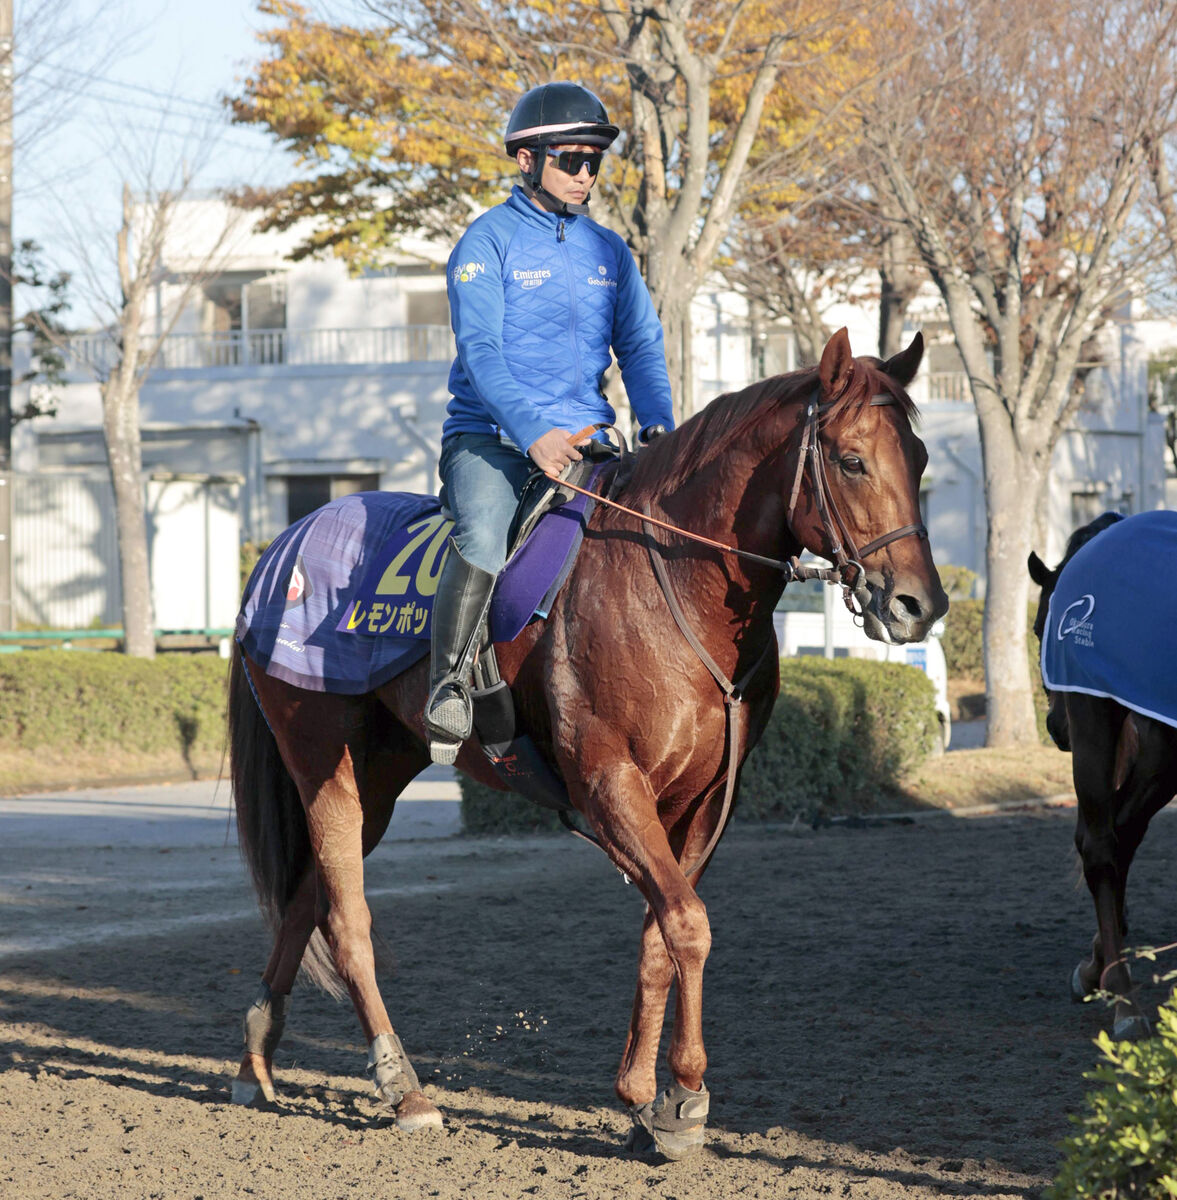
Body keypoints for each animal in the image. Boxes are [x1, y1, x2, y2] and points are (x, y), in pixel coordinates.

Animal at [226, 326, 945, 1152]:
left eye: (920, 458)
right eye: (852, 460)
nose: (919, 604)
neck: (670, 580)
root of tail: (282, 550)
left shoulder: (704, 801)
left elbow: (660, 931)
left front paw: (644, 1096)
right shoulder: (609, 781)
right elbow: (687, 925)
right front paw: (685, 1095)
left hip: (377, 771)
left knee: (305, 897)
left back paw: (254, 1062)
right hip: (321, 756)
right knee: (345, 918)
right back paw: (401, 1086)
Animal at [1022, 508, 1175, 1041]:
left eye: (1037, 627)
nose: (1055, 725)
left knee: (1115, 835)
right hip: (1105, 718)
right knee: (1102, 844)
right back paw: (1121, 996)